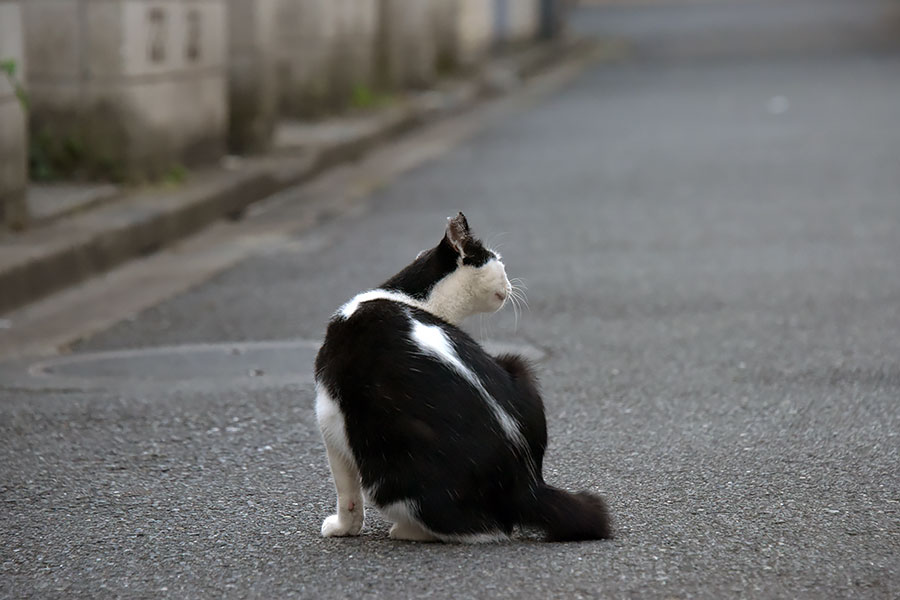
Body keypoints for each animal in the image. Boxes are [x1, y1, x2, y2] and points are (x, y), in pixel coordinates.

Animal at [312, 213, 616, 540]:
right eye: (499, 262)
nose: (511, 284)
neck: (412, 299)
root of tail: (527, 483)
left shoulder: (328, 412)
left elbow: (346, 490)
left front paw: (342, 528)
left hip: (383, 446)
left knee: (478, 528)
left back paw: (407, 530)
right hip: (517, 365)